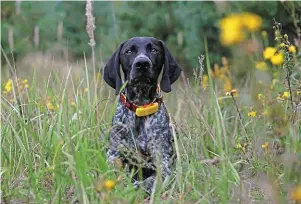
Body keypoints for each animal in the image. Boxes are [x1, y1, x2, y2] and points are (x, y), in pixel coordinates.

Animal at [103, 36, 180, 194]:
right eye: (129, 51)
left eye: (154, 50)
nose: (142, 63)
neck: (140, 107)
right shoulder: (113, 156)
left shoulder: (164, 165)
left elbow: (149, 182)